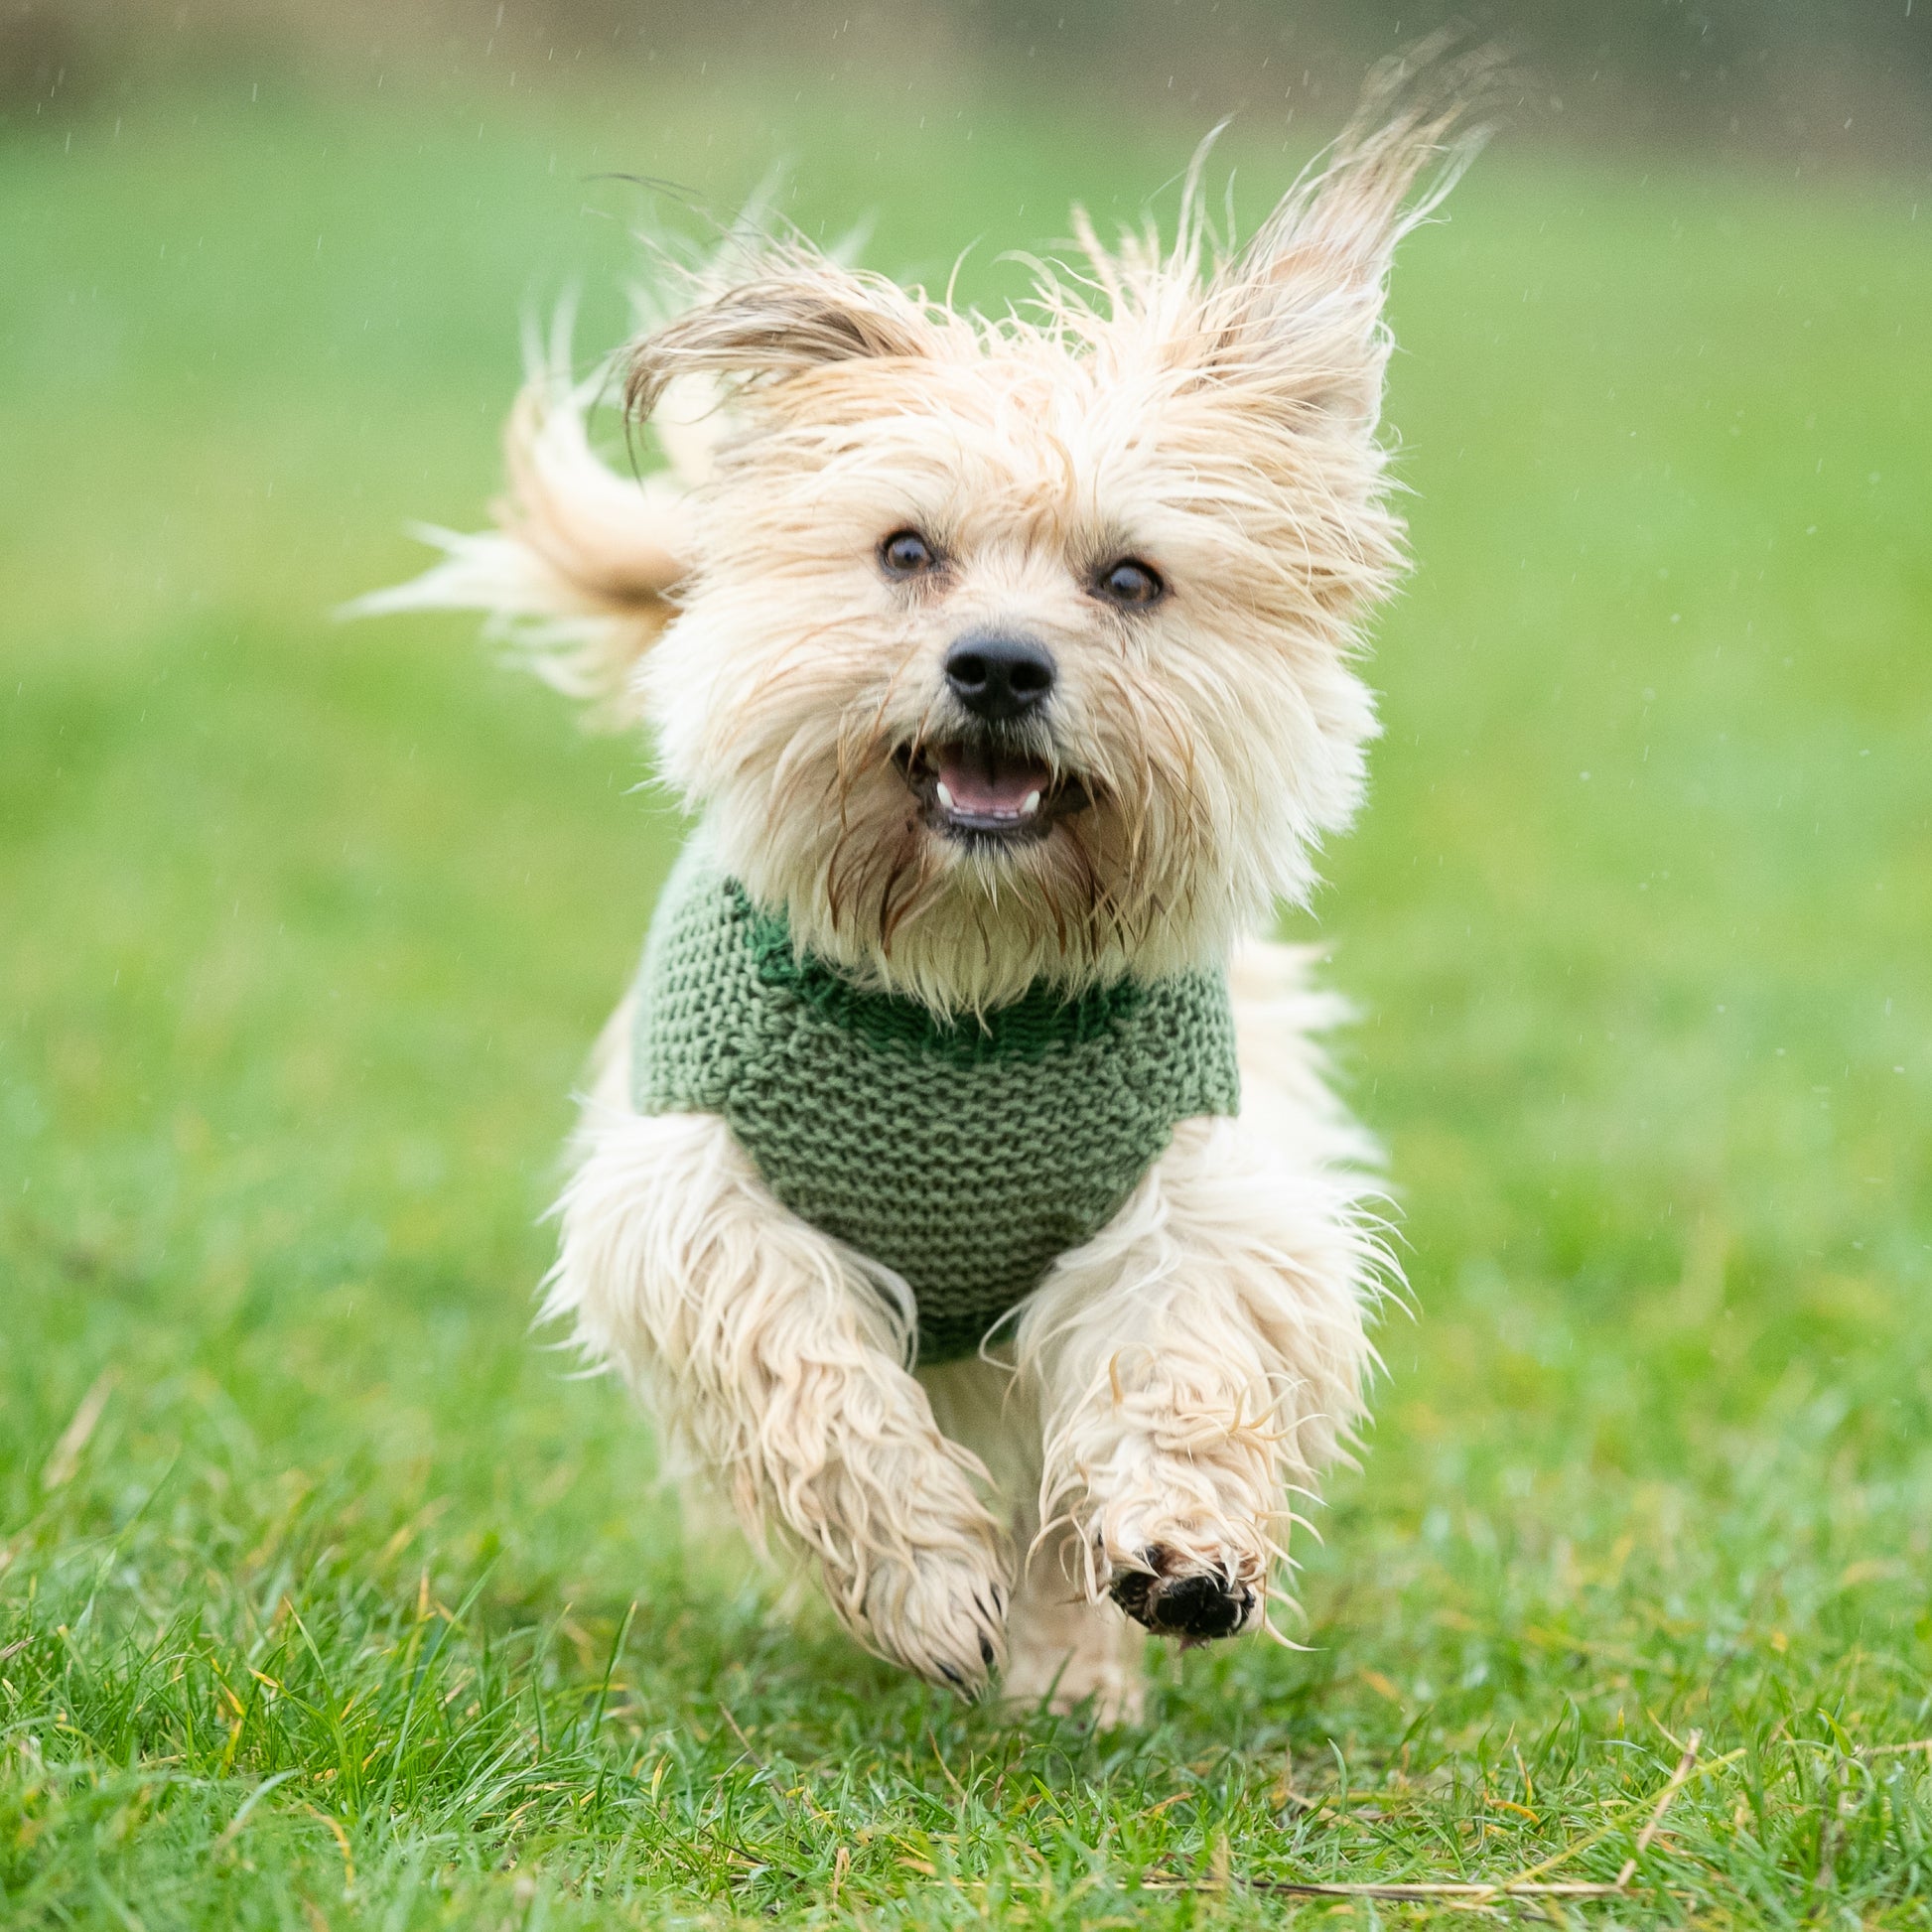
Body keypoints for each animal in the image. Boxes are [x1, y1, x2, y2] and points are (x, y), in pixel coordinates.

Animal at [362, 56, 1475, 1723]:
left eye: (1129, 579)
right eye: (906, 550)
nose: (999, 666)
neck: (964, 971)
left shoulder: (1190, 1190)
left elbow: (1177, 1344)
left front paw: (1177, 1554)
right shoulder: (697, 1189)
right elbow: (802, 1366)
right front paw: (926, 1582)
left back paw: (1074, 1666)